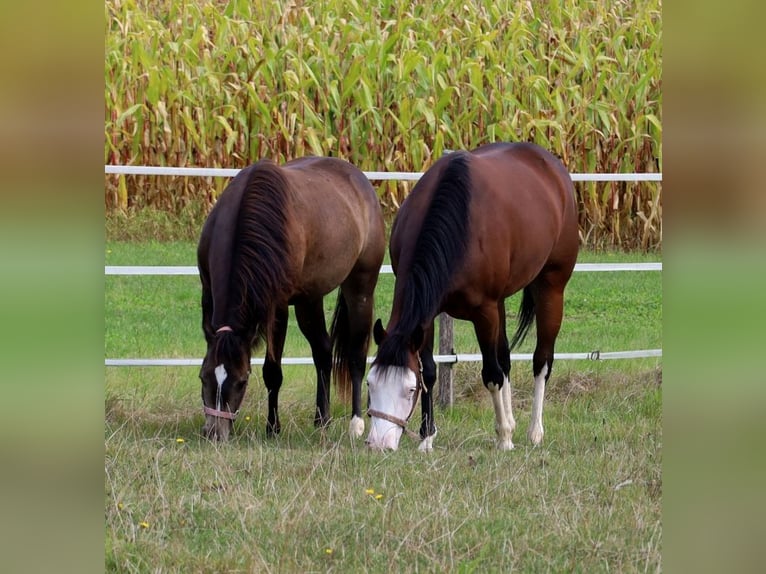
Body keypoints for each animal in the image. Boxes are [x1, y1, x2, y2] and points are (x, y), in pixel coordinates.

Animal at [197, 156, 385, 441]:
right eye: (203, 377)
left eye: (242, 381)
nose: (215, 433)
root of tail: (361, 181)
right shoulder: (207, 293)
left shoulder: (277, 307)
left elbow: (272, 371)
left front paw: (273, 428)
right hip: (310, 300)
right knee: (323, 351)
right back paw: (322, 419)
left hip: (360, 288)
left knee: (356, 355)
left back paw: (356, 424)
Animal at [365, 142, 579, 451]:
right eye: (370, 383)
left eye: (409, 388)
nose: (380, 443)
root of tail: (550, 165)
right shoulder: (429, 315)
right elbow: (432, 371)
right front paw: (426, 439)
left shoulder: (484, 312)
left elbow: (491, 375)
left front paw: (504, 438)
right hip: (501, 302)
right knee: (506, 358)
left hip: (551, 286)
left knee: (542, 360)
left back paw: (534, 432)